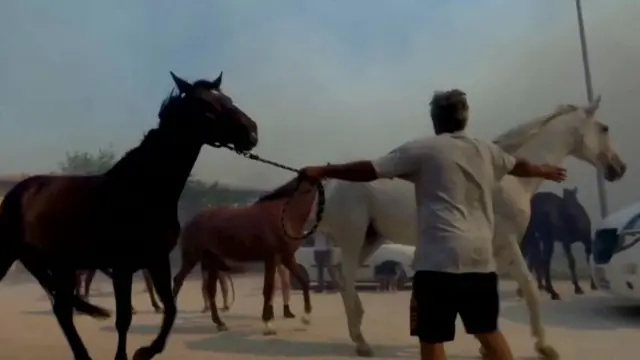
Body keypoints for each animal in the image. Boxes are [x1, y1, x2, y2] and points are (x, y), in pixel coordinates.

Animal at [0, 71, 260, 360]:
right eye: (205, 106)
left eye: (227, 98)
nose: (252, 132)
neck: (141, 189)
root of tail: (18, 191)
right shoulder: (122, 266)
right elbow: (123, 318)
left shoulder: (157, 260)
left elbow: (171, 308)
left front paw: (146, 351)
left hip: (62, 264)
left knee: (63, 311)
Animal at [171, 176, 318, 334]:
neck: (284, 212)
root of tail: (189, 223)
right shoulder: (272, 257)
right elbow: (268, 289)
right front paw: (268, 324)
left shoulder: (286, 257)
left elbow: (303, 280)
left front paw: (306, 317)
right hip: (192, 257)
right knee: (179, 279)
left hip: (211, 260)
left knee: (210, 290)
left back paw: (220, 323)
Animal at [316, 96, 624, 360]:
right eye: (604, 128)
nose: (620, 168)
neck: (511, 180)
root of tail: (333, 185)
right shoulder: (508, 244)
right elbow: (530, 288)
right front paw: (544, 347)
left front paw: (485, 347)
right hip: (354, 237)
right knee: (346, 279)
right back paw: (362, 343)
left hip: (372, 239)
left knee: (342, 277)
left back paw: (358, 334)